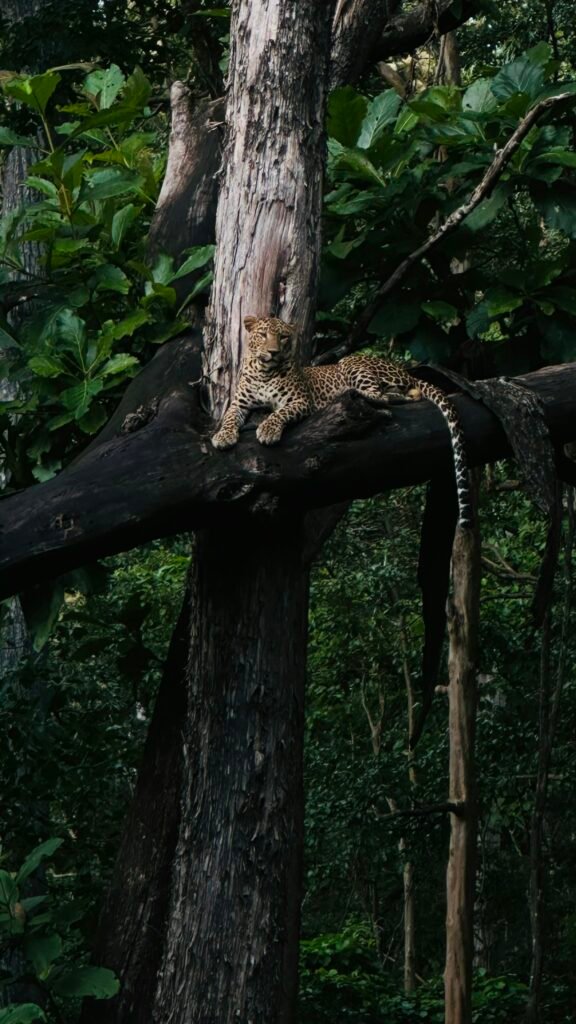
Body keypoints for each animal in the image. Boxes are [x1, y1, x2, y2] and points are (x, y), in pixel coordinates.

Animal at [211, 315, 471, 527]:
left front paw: (267, 430)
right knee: (405, 394)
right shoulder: (239, 404)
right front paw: (222, 436)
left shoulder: (301, 401)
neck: (264, 371)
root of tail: (404, 370)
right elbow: (229, 418)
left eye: (283, 337)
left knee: (387, 394)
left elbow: (279, 413)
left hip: (351, 362)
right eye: (263, 335)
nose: (273, 351)